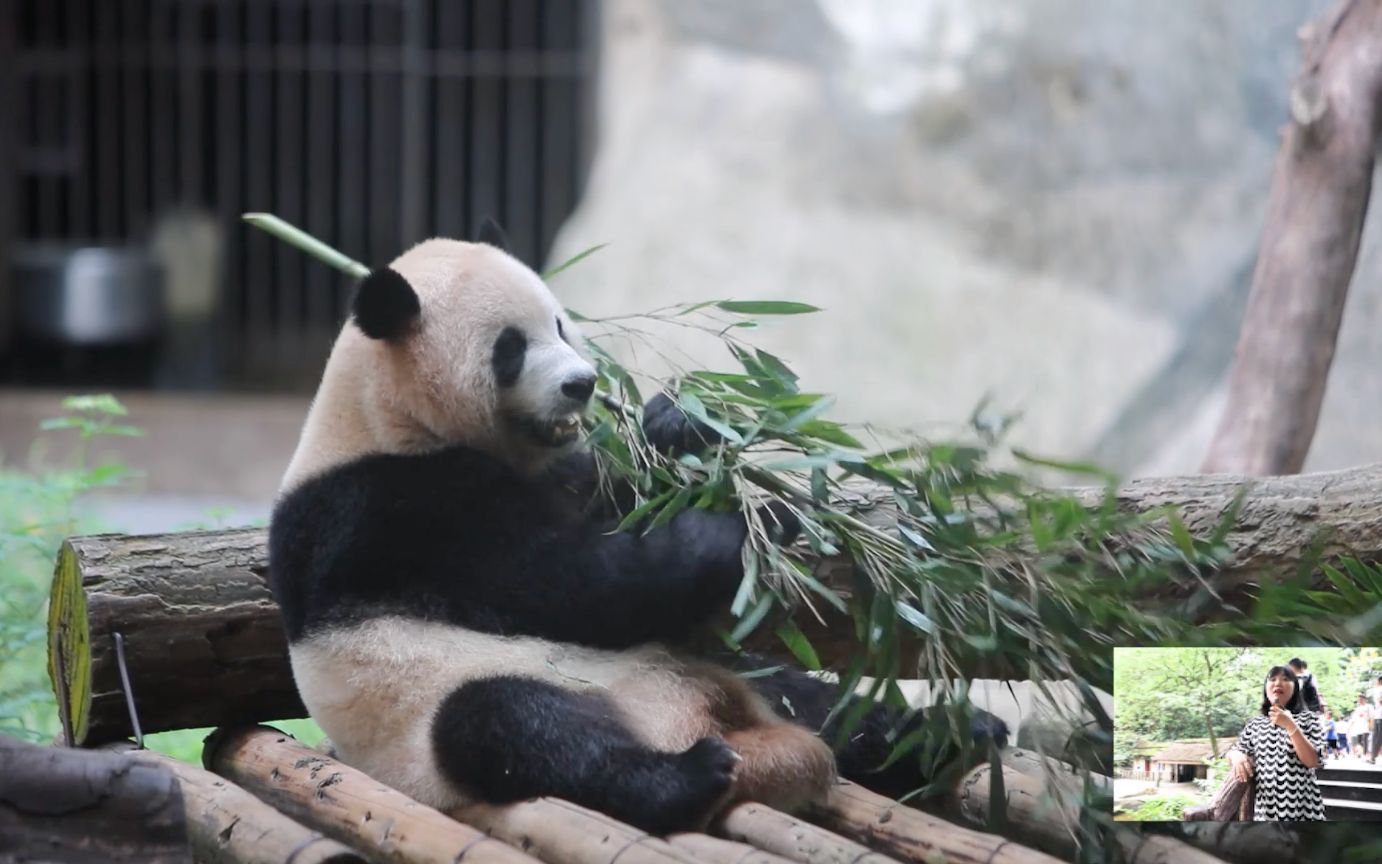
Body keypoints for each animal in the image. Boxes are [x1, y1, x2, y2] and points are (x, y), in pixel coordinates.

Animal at [266, 225, 1006, 834]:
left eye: (561, 324)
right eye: (511, 348)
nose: (583, 384)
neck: (379, 413)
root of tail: (746, 737)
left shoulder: (559, 470)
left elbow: (624, 497)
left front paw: (686, 425)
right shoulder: (390, 510)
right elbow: (569, 586)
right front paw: (739, 528)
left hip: (735, 673)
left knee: (825, 705)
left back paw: (955, 735)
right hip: (436, 712)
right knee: (513, 727)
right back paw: (685, 778)